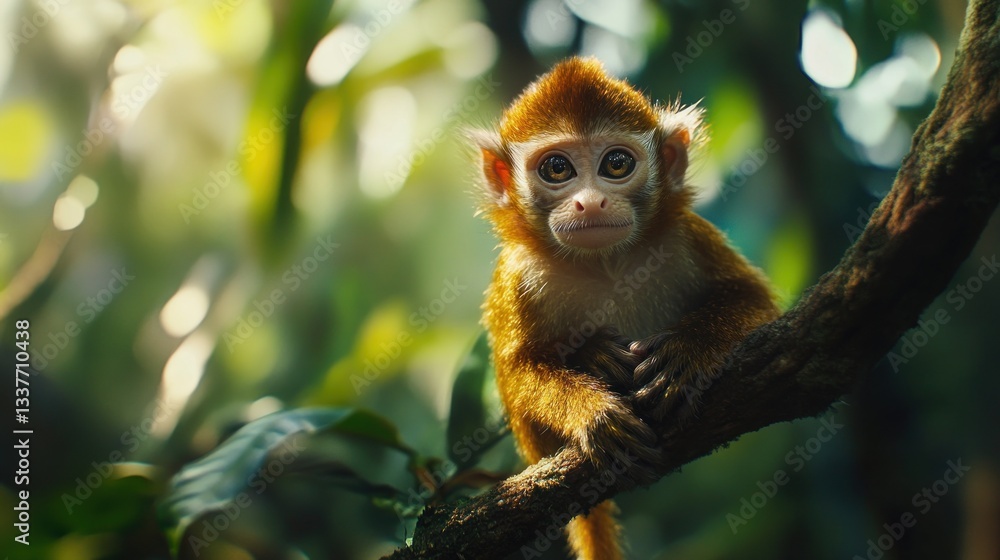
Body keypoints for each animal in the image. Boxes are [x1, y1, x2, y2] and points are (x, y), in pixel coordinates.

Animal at [471, 57, 779, 560]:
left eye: (616, 164)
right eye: (556, 168)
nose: (591, 201)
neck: (606, 266)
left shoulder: (684, 236)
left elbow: (752, 298)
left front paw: (687, 353)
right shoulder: (519, 277)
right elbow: (516, 373)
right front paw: (589, 408)